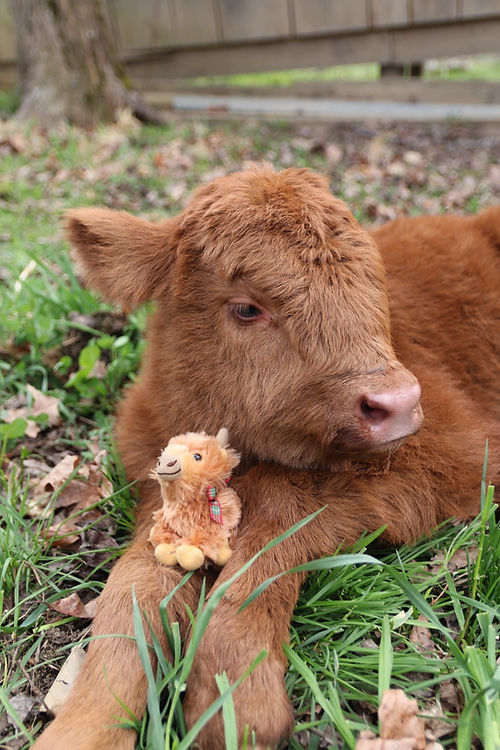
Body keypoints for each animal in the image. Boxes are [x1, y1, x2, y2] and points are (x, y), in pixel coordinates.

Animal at [33, 165, 500, 750]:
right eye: (247, 308)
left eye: (377, 289)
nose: (397, 402)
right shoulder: (151, 494)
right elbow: (130, 594)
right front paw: (83, 726)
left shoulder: (459, 452)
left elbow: (281, 503)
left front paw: (237, 701)